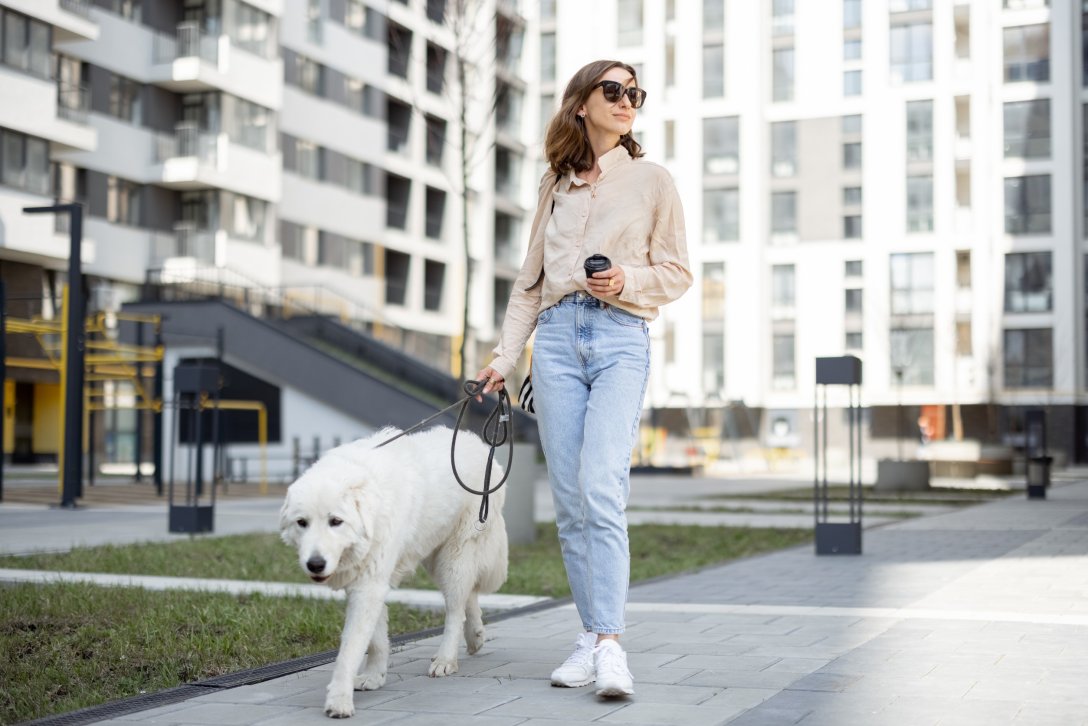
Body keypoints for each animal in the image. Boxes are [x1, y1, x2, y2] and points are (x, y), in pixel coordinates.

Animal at [276, 428, 504, 718]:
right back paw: (474, 638)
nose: (315, 564)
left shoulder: (369, 586)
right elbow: (375, 640)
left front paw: (339, 700)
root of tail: (477, 442)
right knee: (468, 596)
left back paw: (446, 659)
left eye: (336, 521)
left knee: (455, 609)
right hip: (434, 555)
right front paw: (374, 677)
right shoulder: (367, 582)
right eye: (302, 523)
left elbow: (350, 648)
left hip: (454, 556)